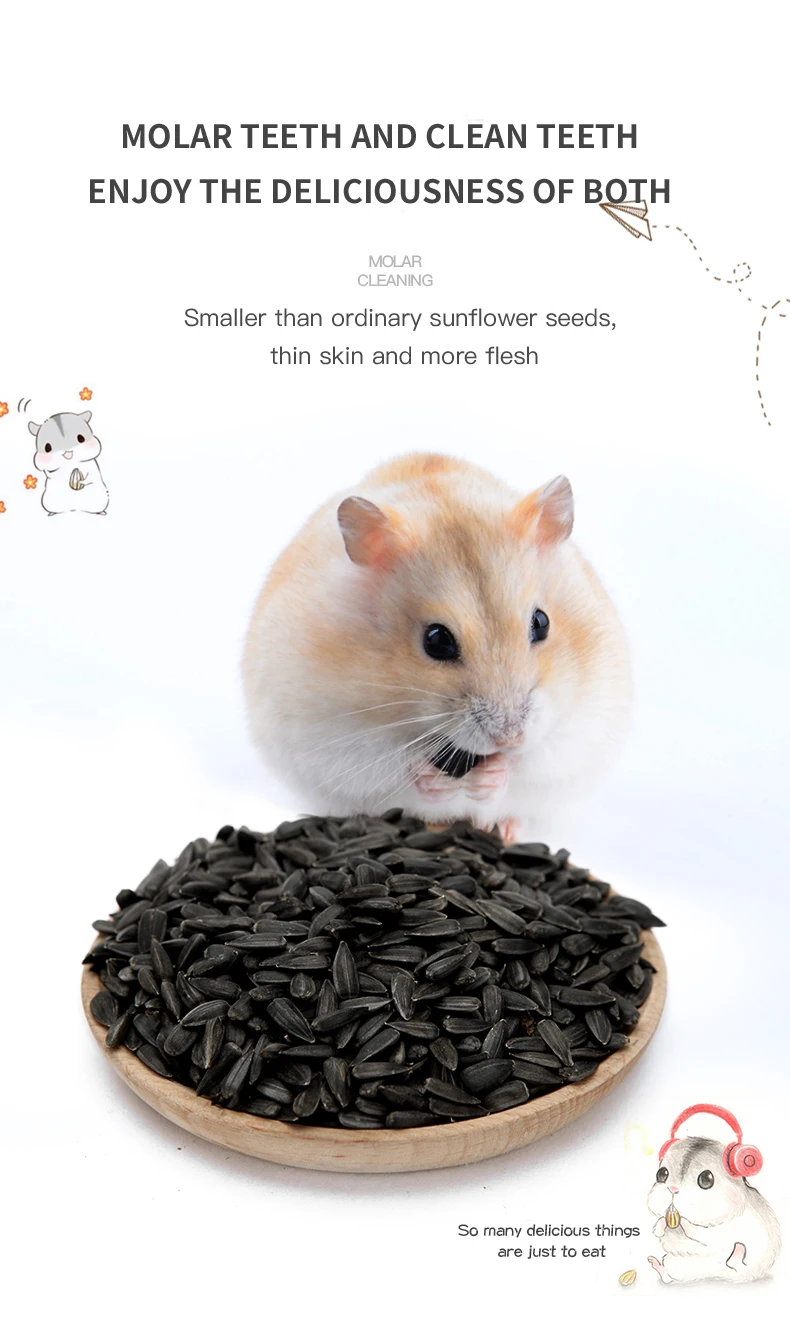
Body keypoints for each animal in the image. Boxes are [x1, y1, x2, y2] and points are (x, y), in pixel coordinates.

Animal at [243, 452, 631, 839]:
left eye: (541, 622)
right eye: (437, 640)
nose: (509, 738)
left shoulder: (583, 724)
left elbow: (530, 762)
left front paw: (485, 781)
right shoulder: (331, 738)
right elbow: (399, 767)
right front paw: (442, 784)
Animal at [647, 1137, 781, 1284]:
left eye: (706, 1179)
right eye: (661, 1173)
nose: (673, 1189)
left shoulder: (723, 1230)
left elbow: (700, 1233)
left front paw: (683, 1223)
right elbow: (665, 1226)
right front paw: (657, 1229)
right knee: (667, 1276)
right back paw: (654, 1263)